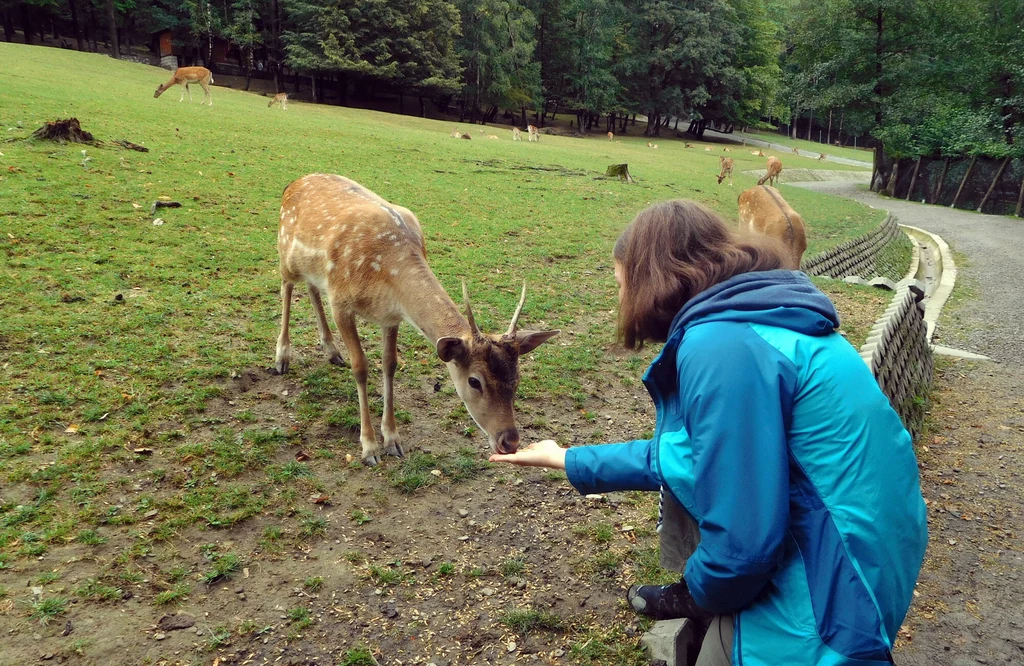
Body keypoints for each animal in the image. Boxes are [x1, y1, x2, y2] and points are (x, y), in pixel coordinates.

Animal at [274, 174, 561, 465]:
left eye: (518, 378)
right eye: (474, 381)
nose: (509, 441)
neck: (386, 274)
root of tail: (294, 182)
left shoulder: (390, 317)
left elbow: (390, 364)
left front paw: (392, 440)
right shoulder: (340, 302)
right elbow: (361, 367)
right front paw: (369, 448)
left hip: (312, 269)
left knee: (311, 288)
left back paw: (332, 351)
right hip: (286, 252)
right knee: (287, 285)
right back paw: (282, 357)